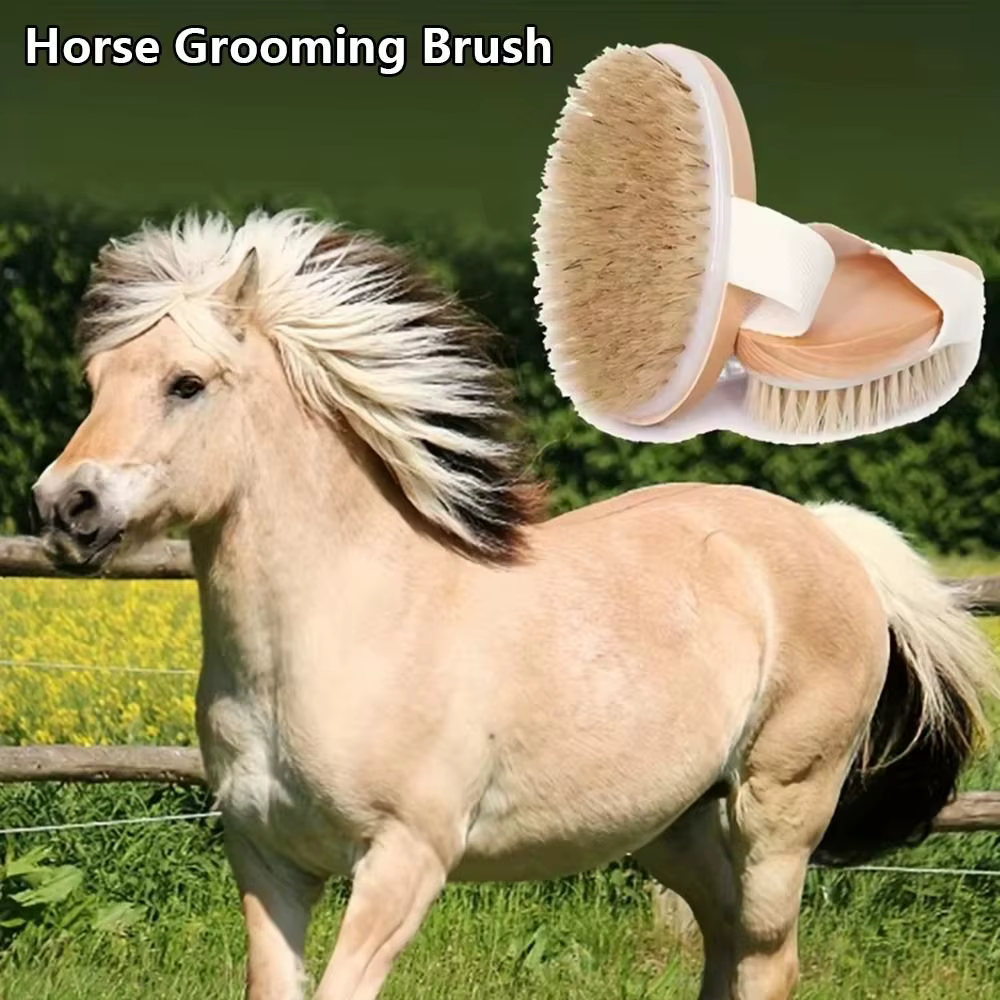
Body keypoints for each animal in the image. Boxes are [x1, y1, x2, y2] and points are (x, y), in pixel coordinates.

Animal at [31, 209, 997, 1000]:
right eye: (97, 378)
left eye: (186, 383)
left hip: (780, 811)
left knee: (766, 961)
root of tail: (828, 534)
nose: (65, 506)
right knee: (723, 947)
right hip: (671, 826)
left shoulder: (404, 860)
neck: (338, 632)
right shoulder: (266, 858)